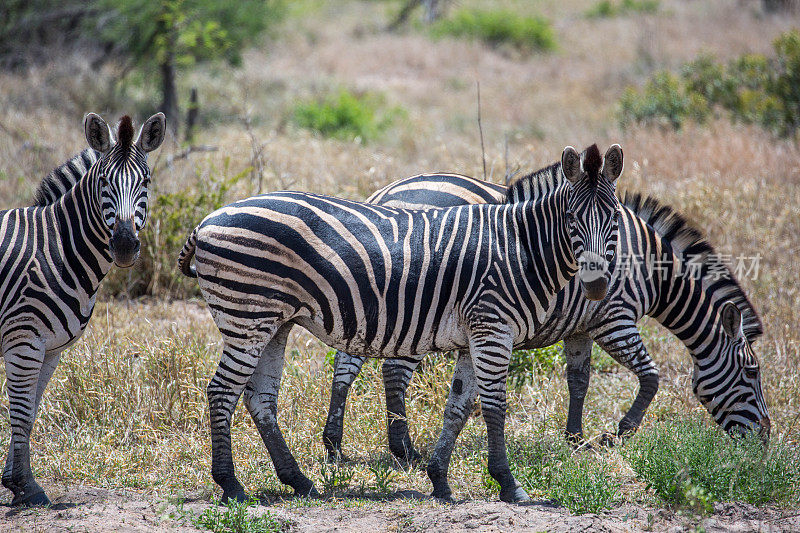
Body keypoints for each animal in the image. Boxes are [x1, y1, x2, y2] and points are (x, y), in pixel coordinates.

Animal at [0, 113, 165, 508]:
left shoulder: (49, 348)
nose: (125, 246)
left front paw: (16, 483)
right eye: (104, 183)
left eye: (146, 182)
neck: (57, 247)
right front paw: (27, 487)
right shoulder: (23, 340)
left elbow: (29, 412)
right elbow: (21, 412)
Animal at [181, 143, 624, 500]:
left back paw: (299, 481)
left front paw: (439, 479)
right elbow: (495, 406)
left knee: (260, 399)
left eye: (615, 220)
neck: (520, 247)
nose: (597, 285)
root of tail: (205, 221)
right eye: (572, 219)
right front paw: (507, 483)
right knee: (222, 392)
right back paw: (232, 485)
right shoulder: (493, 328)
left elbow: (458, 407)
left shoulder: (475, 335)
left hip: (274, 323)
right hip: (247, 316)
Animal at [322, 169, 764, 466]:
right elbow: (651, 377)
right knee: (393, 371)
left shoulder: (580, 325)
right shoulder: (615, 318)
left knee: (347, 363)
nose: (765, 439)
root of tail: (385, 194)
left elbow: (579, 381)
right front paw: (619, 434)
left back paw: (335, 444)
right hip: (415, 305)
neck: (650, 268)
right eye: (752, 372)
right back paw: (404, 449)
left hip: (372, 300)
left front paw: (575, 438)